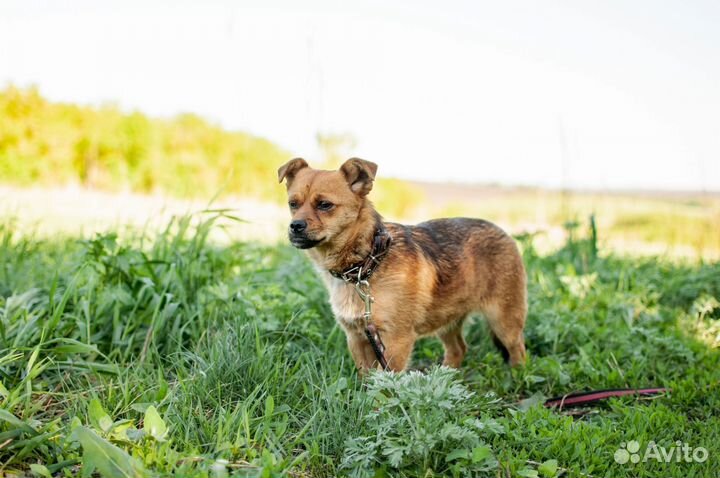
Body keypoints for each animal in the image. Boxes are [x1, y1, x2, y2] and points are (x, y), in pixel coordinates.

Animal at [278, 159, 524, 372]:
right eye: (292, 204)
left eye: (325, 205)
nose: (295, 226)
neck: (367, 263)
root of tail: (503, 232)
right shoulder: (358, 338)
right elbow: (366, 381)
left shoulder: (396, 341)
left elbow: (385, 385)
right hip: (448, 319)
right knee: (458, 349)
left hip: (504, 320)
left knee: (518, 351)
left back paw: (517, 378)